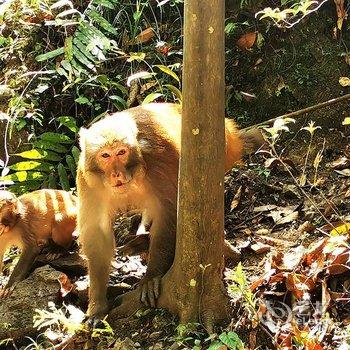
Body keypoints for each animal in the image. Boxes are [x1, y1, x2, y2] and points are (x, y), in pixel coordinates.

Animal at [76, 102, 243, 322]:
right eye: (105, 155)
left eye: (121, 152)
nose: (116, 174)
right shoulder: (87, 180)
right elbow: (97, 235)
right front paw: (97, 305)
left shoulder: (159, 161)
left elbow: (169, 214)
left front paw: (151, 276)